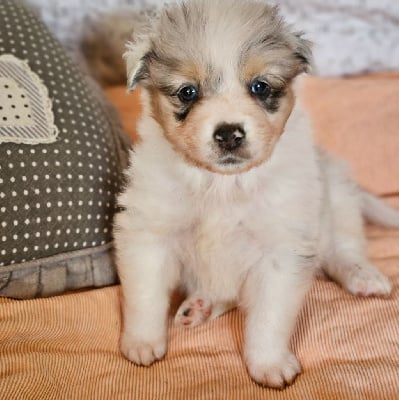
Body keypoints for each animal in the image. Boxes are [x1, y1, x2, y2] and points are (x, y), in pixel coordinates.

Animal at [113, 0, 399, 388]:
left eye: (260, 87)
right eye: (188, 92)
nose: (229, 133)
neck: (223, 184)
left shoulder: (281, 248)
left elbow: (269, 317)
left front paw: (269, 363)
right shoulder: (149, 232)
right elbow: (146, 295)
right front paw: (142, 342)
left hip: (337, 198)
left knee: (344, 249)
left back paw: (363, 276)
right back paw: (199, 307)